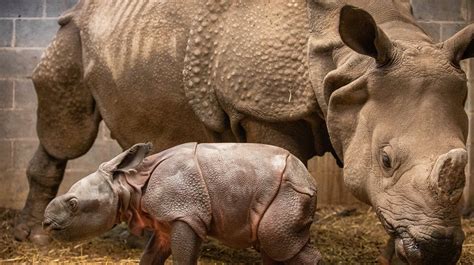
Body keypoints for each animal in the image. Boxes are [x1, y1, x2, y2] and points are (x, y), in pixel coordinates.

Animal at [42, 142, 320, 264]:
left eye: (73, 204)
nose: (46, 224)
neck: (128, 184)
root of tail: (309, 178)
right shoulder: (166, 221)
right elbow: (149, 257)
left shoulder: (186, 215)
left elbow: (183, 259)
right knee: (274, 247)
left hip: (288, 191)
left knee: (278, 242)